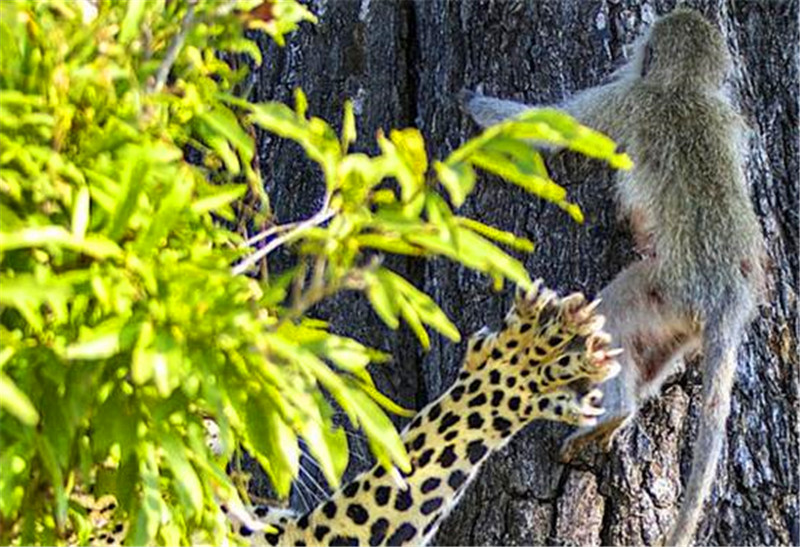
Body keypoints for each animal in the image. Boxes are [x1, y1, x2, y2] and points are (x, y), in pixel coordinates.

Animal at [460, 9, 764, 547]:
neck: (683, 87)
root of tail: (727, 296)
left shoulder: (625, 100)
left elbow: (554, 127)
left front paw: (474, 104)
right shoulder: (726, 115)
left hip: (665, 287)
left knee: (615, 317)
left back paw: (614, 411)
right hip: (680, 319)